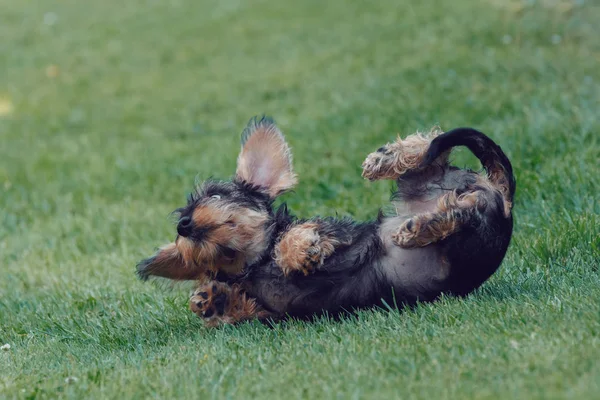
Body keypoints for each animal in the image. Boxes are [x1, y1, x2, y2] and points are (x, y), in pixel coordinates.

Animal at [136, 115, 516, 324]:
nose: (183, 225)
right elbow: (239, 307)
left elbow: (297, 236)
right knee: (438, 164)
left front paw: (297, 252)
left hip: (473, 230)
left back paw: (409, 210)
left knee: (459, 198)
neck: (257, 262)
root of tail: (501, 196)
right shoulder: (268, 313)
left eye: (215, 196)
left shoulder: (337, 235)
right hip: (431, 192)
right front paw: (210, 300)